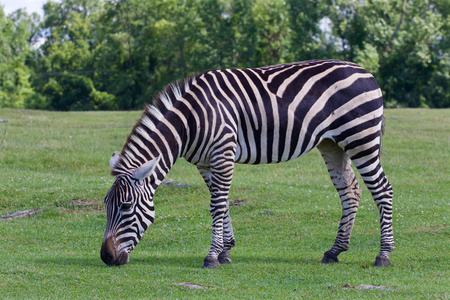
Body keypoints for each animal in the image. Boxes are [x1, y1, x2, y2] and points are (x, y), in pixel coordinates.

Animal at [101, 58, 394, 268]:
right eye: (106, 206)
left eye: (126, 206)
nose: (106, 257)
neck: (190, 122)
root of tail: (366, 72)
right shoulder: (206, 163)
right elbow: (222, 202)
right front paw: (225, 251)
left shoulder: (223, 152)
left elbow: (217, 206)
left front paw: (212, 257)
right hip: (332, 144)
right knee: (350, 191)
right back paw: (334, 251)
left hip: (361, 139)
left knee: (383, 189)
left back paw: (383, 255)